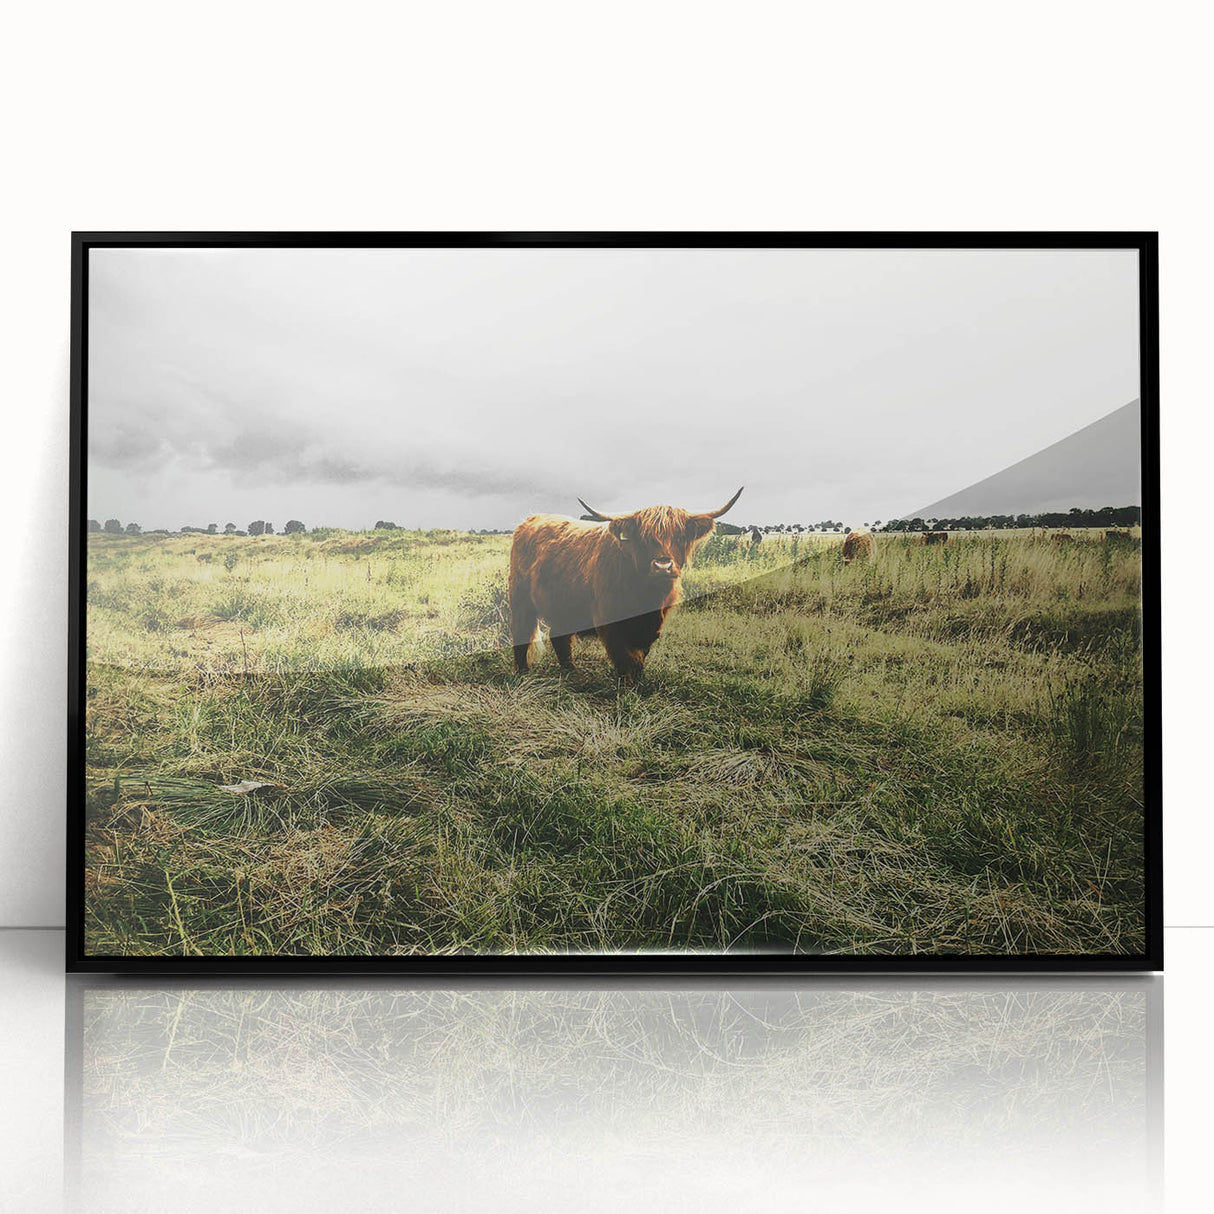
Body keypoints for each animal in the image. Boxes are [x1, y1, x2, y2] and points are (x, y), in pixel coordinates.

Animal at [509, 487, 744, 682]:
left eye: (680, 537)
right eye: (644, 538)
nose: (662, 566)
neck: (646, 595)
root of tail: (530, 519)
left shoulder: (653, 624)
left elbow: (640, 654)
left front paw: (638, 681)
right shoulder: (608, 619)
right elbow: (623, 655)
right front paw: (627, 685)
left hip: (563, 604)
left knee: (560, 636)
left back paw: (571, 671)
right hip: (520, 599)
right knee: (521, 632)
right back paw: (522, 672)